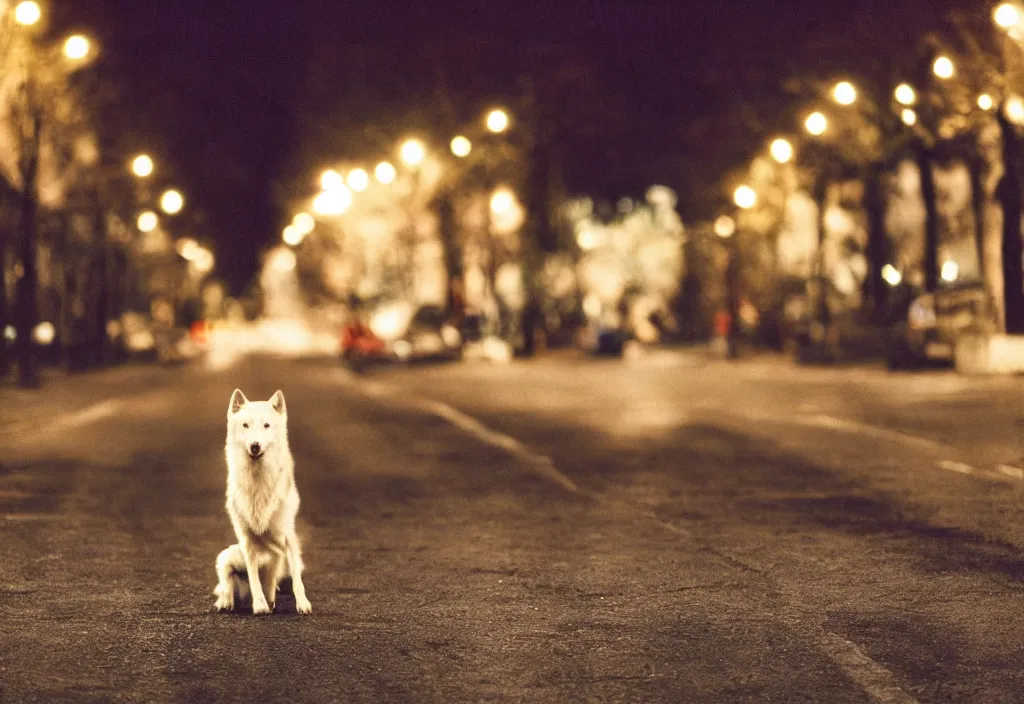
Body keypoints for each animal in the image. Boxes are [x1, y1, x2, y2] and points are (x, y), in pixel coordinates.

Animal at [211, 386, 311, 613]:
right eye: (245, 425)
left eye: (266, 425)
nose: (255, 446)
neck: (258, 480)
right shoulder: (247, 543)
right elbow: (255, 579)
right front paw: (260, 605)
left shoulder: (288, 539)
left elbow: (296, 579)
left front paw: (303, 604)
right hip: (231, 555)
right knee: (227, 579)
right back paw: (226, 601)